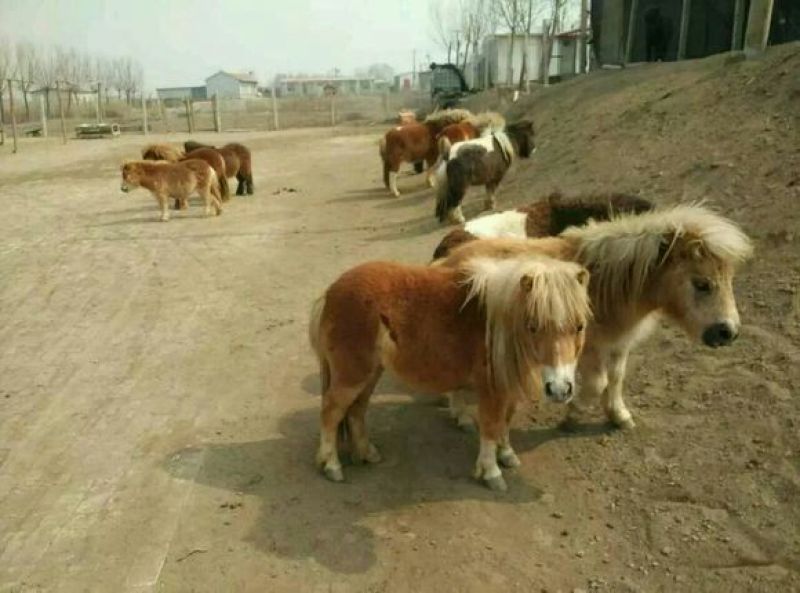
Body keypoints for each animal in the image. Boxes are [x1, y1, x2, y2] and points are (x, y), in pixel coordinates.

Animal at [309, 256, 592, 491]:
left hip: (370, 373)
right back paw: (332, 465)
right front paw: (491, 472)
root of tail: (330, 292)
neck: (497, 323)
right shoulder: (491, 390)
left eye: (579, 326)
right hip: (352, 375)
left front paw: (507, 454)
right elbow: (490, 427)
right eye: (533, 326)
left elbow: (505, 422)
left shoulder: (507, 388)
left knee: (356, 411)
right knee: (331, 412)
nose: (560, 390)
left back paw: (367, 453)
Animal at [439, 204, 753, 431]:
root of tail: (448, 260)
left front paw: (618, 415)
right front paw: (572, 415)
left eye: (729, 279)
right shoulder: (588, 350)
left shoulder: (618, 345)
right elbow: (596, 384)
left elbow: (615, 379)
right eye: (702, 284)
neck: (604, 285)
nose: (728, 332)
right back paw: (462, 415)